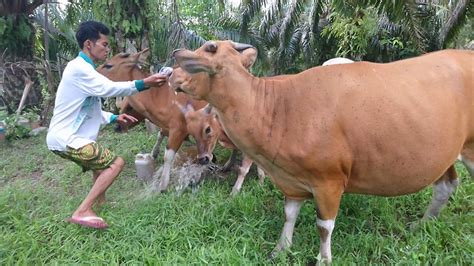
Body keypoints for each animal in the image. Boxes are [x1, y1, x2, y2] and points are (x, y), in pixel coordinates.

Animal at [96, 49, 206, 191]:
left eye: (108, 65)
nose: (117, 127)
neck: (161, 96)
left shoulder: (179, 129)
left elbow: (168, 156)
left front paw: (163, 186)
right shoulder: (168, 126)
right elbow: (160, 135)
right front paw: (153, 154)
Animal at [170, 41, 474, 262]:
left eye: (209, 48)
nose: (171, 71)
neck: (279, 107)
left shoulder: (329, 182)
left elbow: (324, 226)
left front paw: (323, 259)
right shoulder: (292, 180)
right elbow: (289, 214)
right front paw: (280, 249)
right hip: (442, 153)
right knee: (446, 185)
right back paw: (421, 225)